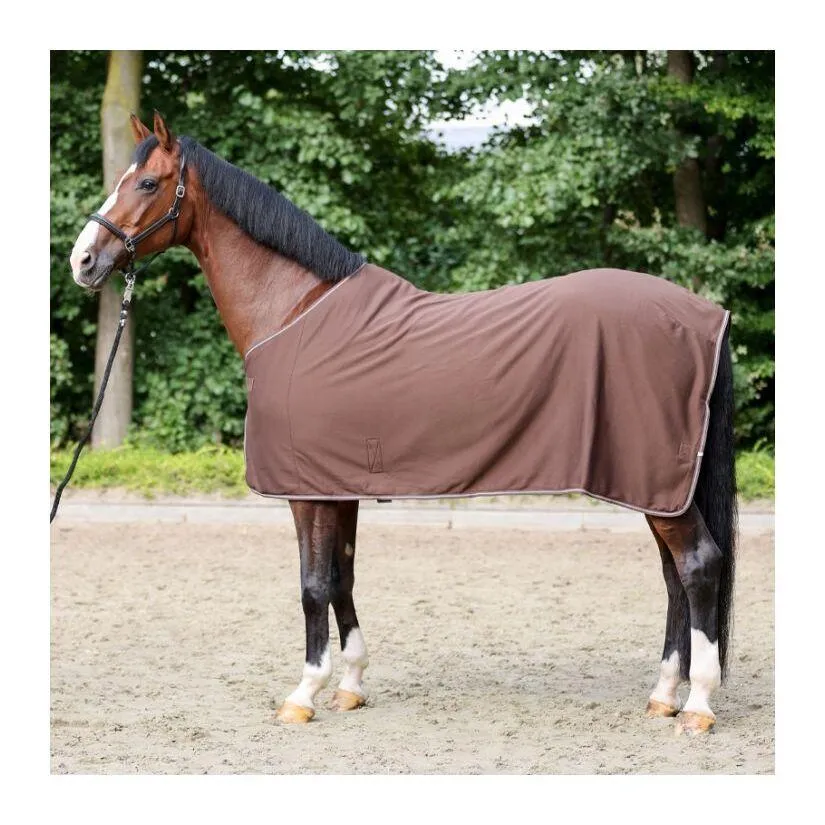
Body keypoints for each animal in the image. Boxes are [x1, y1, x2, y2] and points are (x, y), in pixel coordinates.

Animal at [69, 111, 737, 736]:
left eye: (147, 182)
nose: (83, 260)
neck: (295, 312)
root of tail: (706, 314)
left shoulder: (306, 492)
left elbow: (313, 585)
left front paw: (303, 693)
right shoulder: (337, 487)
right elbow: (342, 577)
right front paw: (351, 685)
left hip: (657, 482)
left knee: (698, 566)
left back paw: (698, 704)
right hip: (658, 487)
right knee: (674, 576)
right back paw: (663, 695)